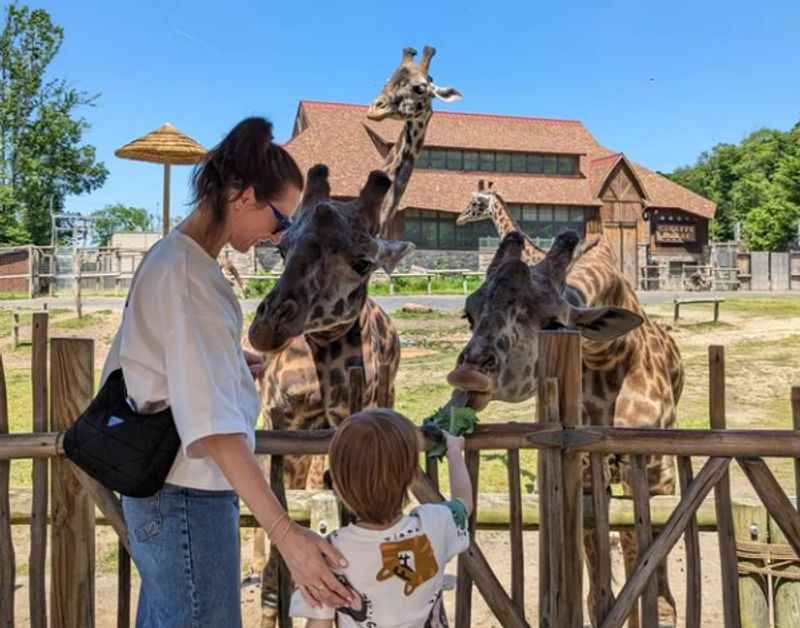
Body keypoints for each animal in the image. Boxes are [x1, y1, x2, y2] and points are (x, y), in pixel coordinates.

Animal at [450, 232, 680, 628]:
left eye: (555, 323)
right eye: (470, 314)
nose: (467, 375)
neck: (610, 356)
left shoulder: (659, 470)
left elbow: (657, 586)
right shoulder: (586, 471)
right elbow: (597, 593)